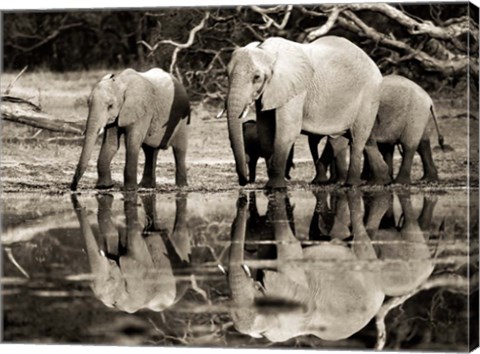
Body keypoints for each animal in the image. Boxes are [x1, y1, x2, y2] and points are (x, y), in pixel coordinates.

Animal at [226, 36, 390, 189]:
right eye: (227, 75)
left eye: (257, 77)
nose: (243, 182)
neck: (267, 51)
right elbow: (265, 130)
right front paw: (271, 184)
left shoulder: (296, 89)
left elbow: (288, 130)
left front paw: (275, 187)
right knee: (365, 139)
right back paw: (381, 182)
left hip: (369, 94)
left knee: (358, 138)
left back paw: (351, 185)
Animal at [312, 74, 446, 185]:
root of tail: (429, 99)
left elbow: (337, 142)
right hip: (421, 116)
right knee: (421, 143)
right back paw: (427, 179)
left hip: (415, 113)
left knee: (408, 145)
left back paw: (399, 182)